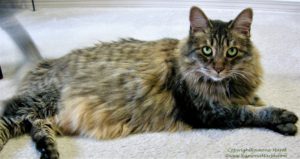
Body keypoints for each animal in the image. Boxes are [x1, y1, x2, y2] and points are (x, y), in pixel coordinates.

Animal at [0, 5, 298, 158]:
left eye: (232, 52)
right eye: (207, 50)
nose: (218, 68)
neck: (224, 84)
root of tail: (45, 61)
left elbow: (256, 101)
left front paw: (283, 121)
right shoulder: (208, 112)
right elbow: (252, 112)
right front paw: (285, 118)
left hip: (46, 113)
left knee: (37, 126)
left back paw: (48, 150)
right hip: (36, 102)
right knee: (8, 120)